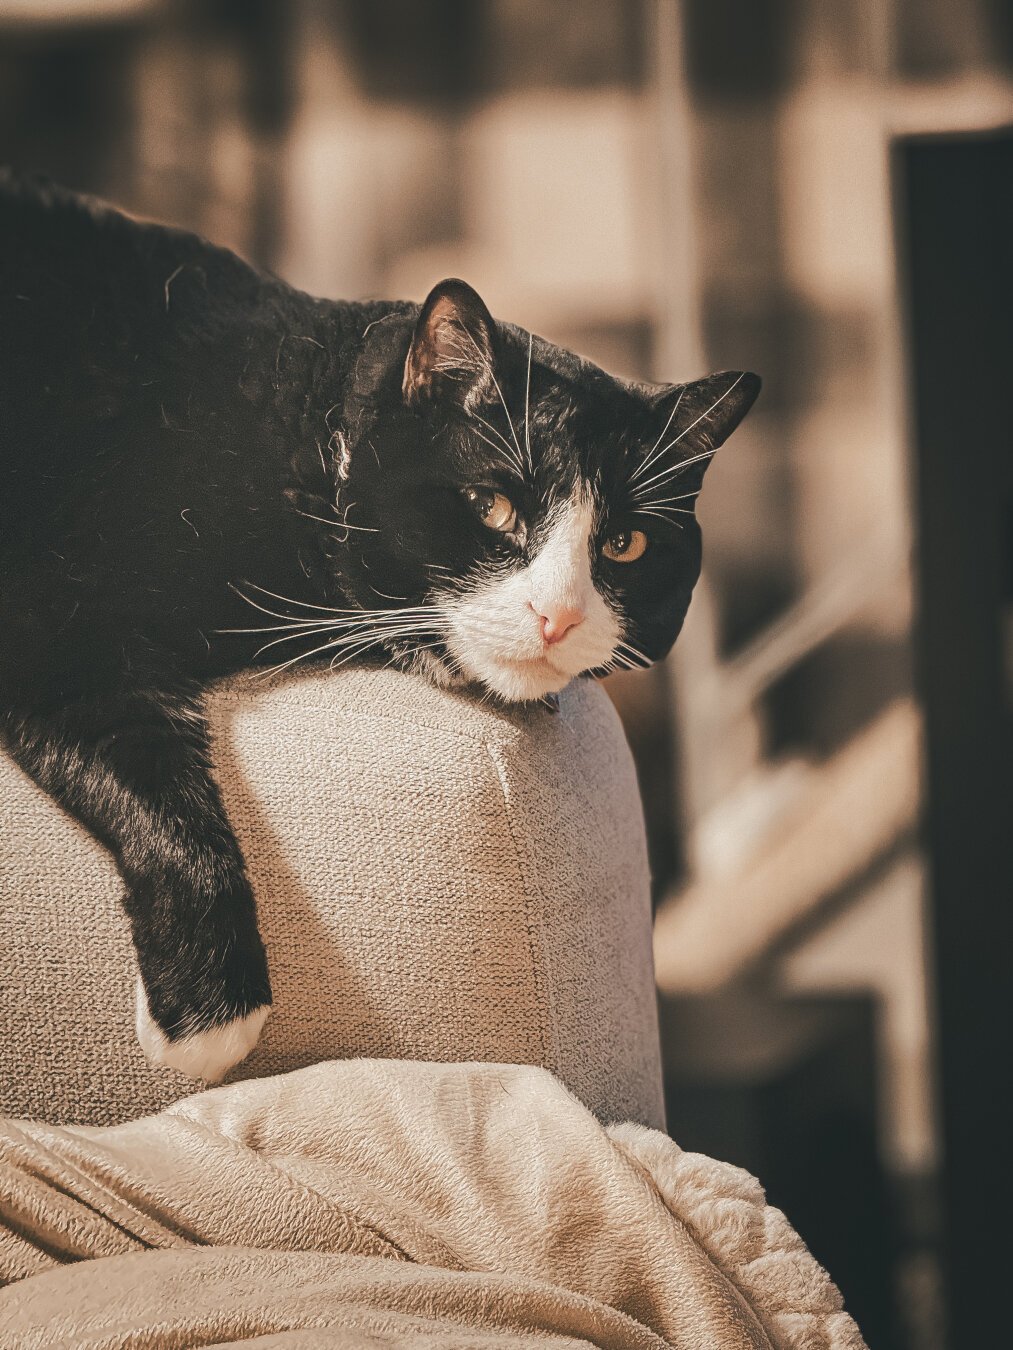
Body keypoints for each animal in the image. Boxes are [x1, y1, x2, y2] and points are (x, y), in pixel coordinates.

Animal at [0, 174, 761, 1080]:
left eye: (624, 544)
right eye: (492, 506)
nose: (557, 615)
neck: (297, 439)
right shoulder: (51, 624)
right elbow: (156, 789)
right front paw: (212, 1014)